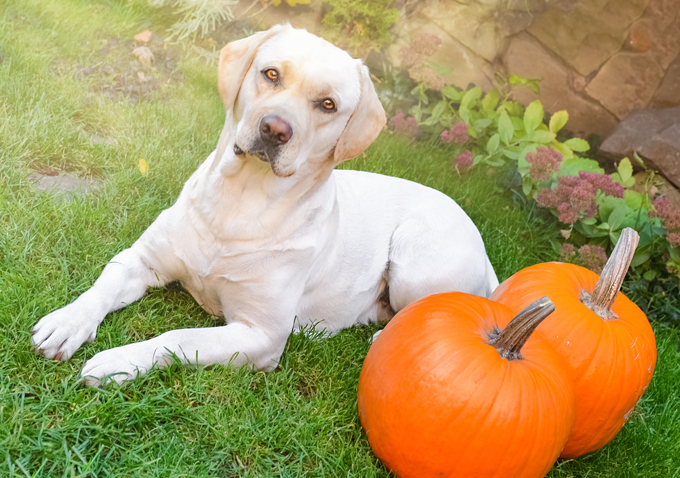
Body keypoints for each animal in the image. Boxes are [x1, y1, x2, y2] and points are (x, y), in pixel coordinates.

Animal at [30, 24, 500, 386]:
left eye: (328, 104)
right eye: (270, 74)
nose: (275, 129)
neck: (239, 204)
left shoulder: (261, 335)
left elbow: (178, 337)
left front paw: (120, 361)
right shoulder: (140, 259)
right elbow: (102, 287)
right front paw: (66, 323)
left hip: (414, 258)